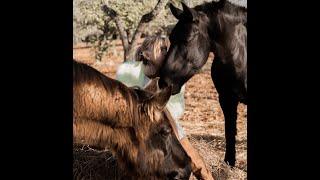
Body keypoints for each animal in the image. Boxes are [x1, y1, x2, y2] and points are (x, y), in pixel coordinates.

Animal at [159, 0, 246, 166]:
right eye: (170, 39)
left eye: (187, 39)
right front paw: (229, 163)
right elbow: (229, 131)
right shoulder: (226, 99)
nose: (163, 83)